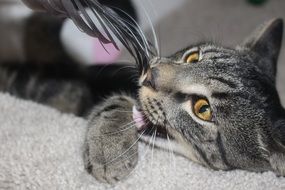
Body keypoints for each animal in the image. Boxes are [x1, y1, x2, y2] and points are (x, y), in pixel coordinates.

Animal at [1, 0, 284, 186]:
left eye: (203, 109)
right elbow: (118, 99)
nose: (151, 74)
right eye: (193, 57)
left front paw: (109, 150)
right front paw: (110, 148)